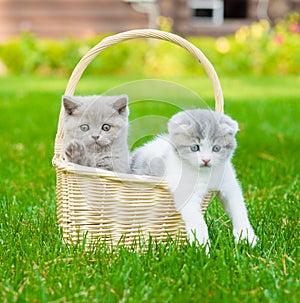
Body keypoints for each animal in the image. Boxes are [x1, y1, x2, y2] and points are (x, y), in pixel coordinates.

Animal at [130, 109, 256, 254]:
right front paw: (202, 246)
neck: (206, 175)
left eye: (216, 148)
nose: (206, 160)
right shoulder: (186, 190)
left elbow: (238, 207)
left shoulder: (228, 183)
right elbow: (197, 221)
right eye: (195, 148)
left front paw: (247, 237)